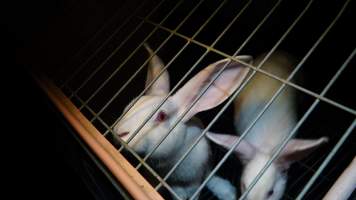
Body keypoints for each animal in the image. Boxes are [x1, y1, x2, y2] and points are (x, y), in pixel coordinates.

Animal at [113, 44, 250, 199]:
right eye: (131, 105)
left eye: (161, 116)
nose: (119, 132)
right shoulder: (173, 185)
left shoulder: (197, 178)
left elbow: (198, 189)